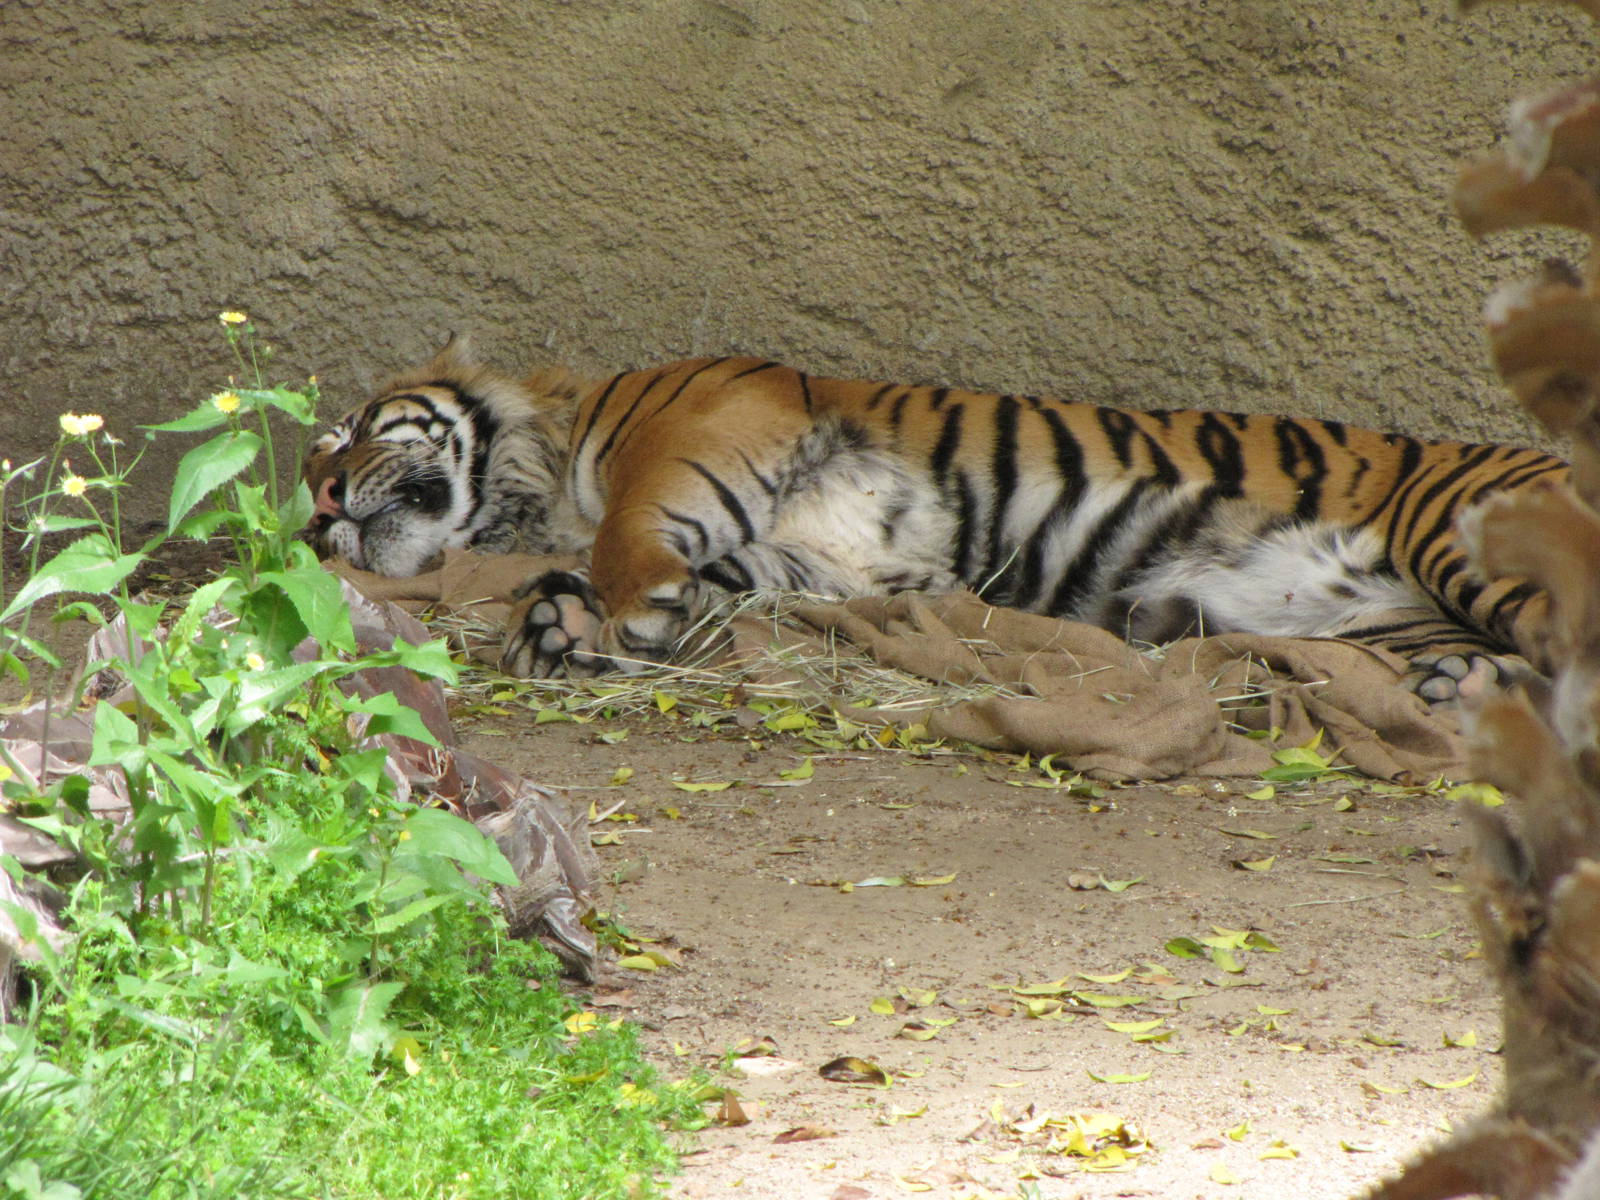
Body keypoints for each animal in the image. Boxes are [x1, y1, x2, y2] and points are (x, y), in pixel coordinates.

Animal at [304, 337, 1567, 704]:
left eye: (346, 433)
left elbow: (635, 534)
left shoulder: (715, 425)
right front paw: (557, 626)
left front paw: (605, 607)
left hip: (1463, 541)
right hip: (1401, 630)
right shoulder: (821, 555)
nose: (319, 522)